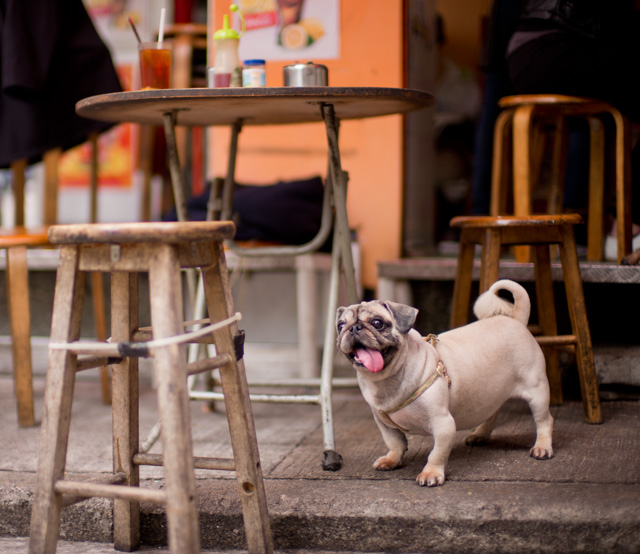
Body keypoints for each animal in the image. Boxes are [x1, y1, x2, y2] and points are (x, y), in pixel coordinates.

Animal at [338, 278, 552, 486]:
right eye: (340, 325)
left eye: (377, 323)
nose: (354, 328)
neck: (386, 381)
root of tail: (516, 321)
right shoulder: (385, 425)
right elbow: (395, 443)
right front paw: (392, 460)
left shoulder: (443, 425)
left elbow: (436, 454)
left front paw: (431, 473)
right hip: (492, 394)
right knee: (492, 413)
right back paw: (481, 435)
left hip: (537, 392)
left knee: (544, 420)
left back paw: (542, 447)